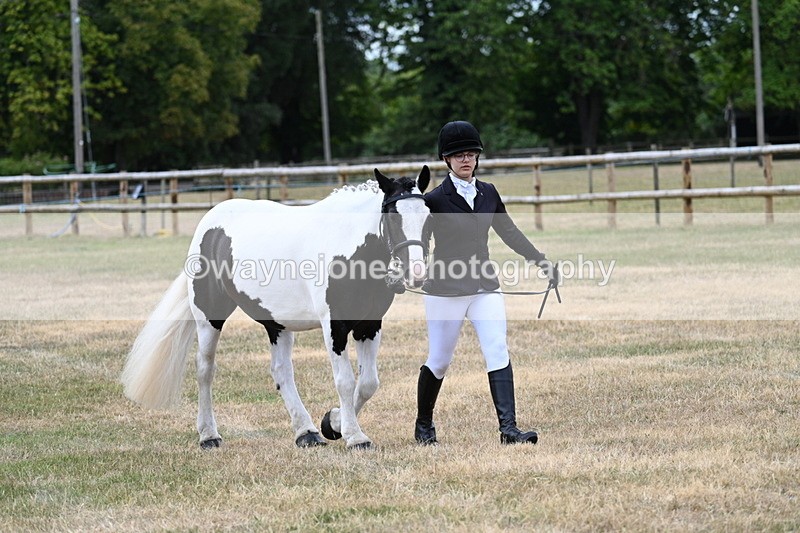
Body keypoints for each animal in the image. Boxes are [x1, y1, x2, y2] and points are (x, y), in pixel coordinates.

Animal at [121, 166, 431, 449]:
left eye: (428, 217)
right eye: (393, 217)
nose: (416, 273)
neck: (347, 247)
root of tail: (209, 223)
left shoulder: (369, 324)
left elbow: (368, 383)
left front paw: (332, 423)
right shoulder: (335, 325)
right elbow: (345, 381)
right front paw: (355, 437)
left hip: (277, 323)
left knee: (281, 372)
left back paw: (306, 432)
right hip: (209, 317)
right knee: (204, 369)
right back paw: (209, 435)